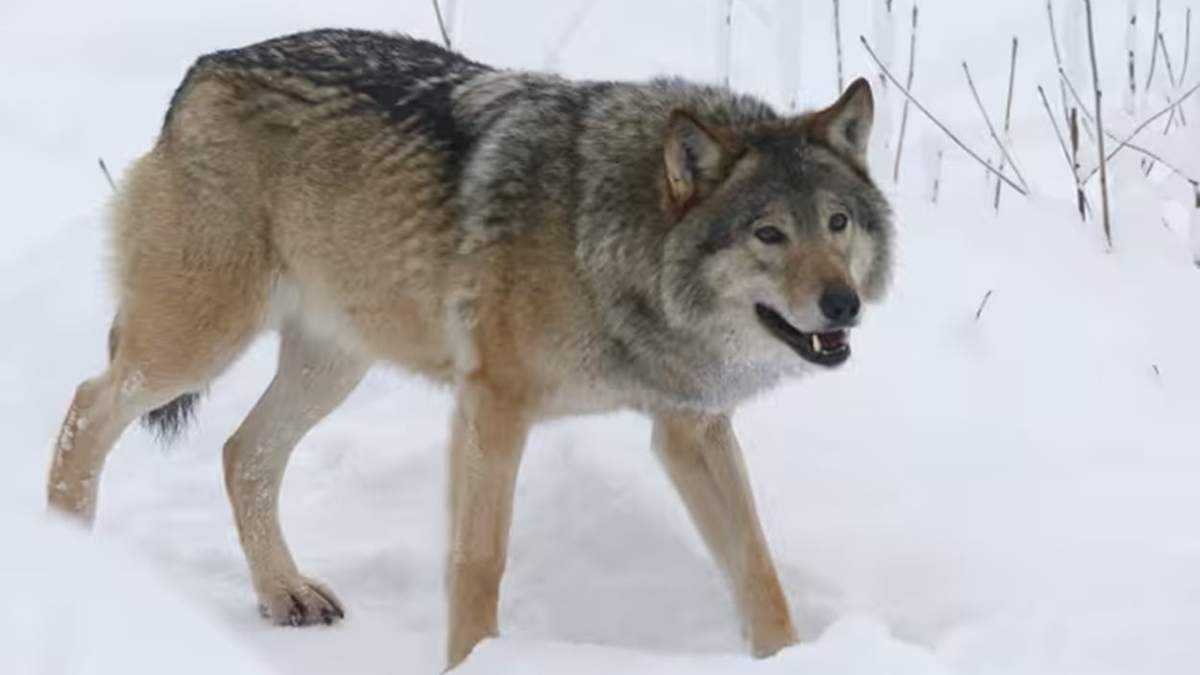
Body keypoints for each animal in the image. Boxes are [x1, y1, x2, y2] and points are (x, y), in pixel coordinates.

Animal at [46, 28, 893, 668]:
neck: (601, 238)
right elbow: (478, 562)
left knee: (240, 452)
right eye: (769, 233)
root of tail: (201, 71)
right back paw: (66, 554)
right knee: (88, 406)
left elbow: (756, 565)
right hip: (197, 345)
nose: (843, 305)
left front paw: (793, 657)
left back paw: (284, 591)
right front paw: (475, 658)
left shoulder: (690, 426)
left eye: (838, 223)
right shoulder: (494, 405)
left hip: (332, 364)